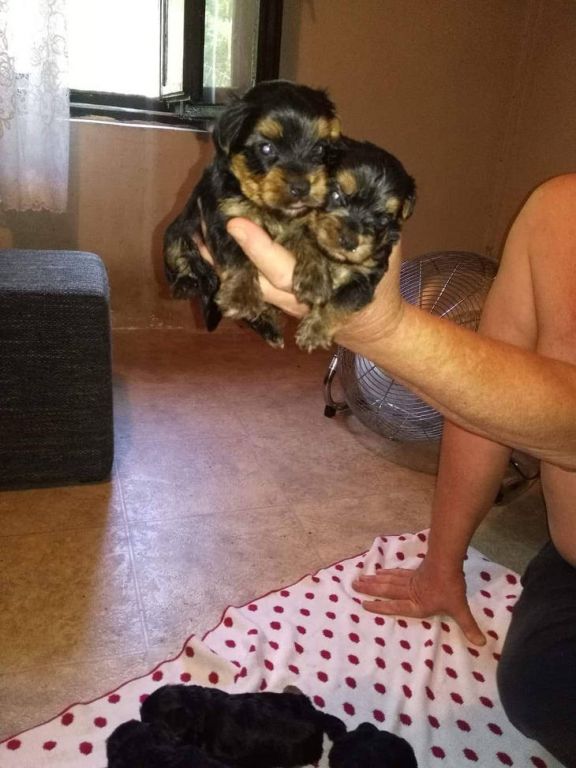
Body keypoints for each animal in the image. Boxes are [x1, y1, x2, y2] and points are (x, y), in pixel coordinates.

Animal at [164, 79, 341, 348]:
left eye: (320, 149)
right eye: (266, 148)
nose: (301, 187)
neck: (268, 208)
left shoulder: (307, 219)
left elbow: (310, 240)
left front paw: (315, 278)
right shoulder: (223, 217)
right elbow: (237, 255)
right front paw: (241, 296)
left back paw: (268, 327)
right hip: (176, 234)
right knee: (179, 258)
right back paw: (188, 283)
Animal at [290, 136, 416, 351]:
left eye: (383, 219)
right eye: (336, 195)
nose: (348, 241)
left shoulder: (365, 277)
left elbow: (341, 301)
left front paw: (315, 330)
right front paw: (314, 276)